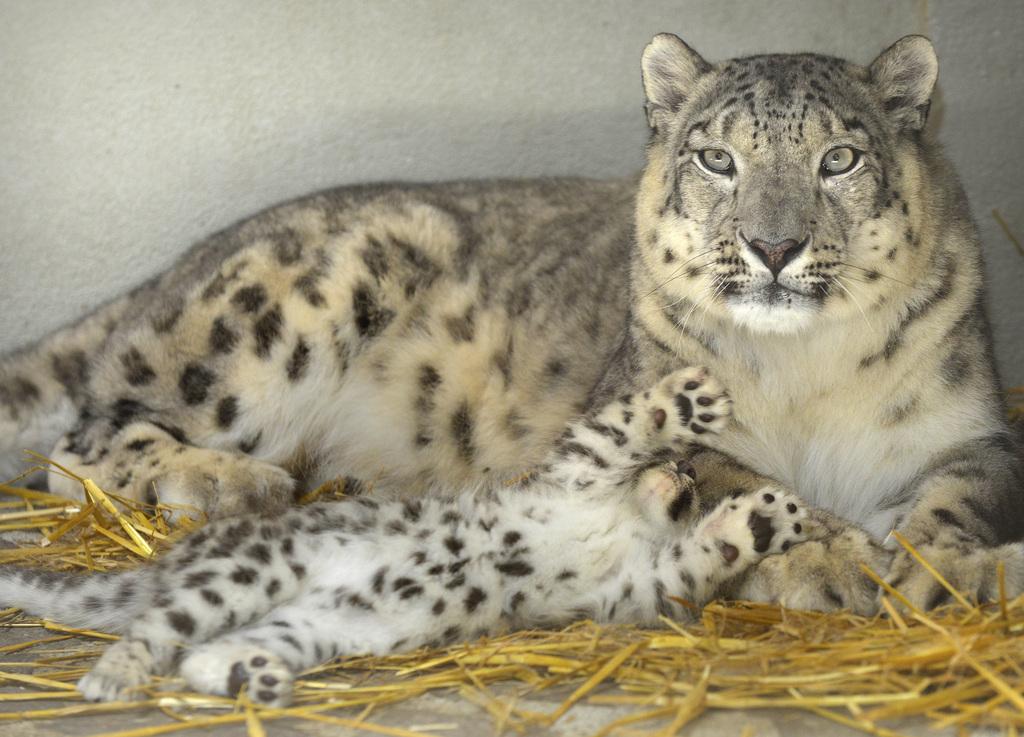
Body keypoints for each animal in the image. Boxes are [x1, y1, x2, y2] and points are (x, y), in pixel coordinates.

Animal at [0, 33, 1019, 610]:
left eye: (840, 158)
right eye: (717, 159)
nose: (773, 246)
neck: (804, 370)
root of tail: (180, 262)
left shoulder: (970, 431)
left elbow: (964, 492)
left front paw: (946, 566)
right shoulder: (641, 415)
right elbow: (736, 476)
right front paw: (831, 558)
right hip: (276, 316)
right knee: (86, 441)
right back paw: (236, 483)